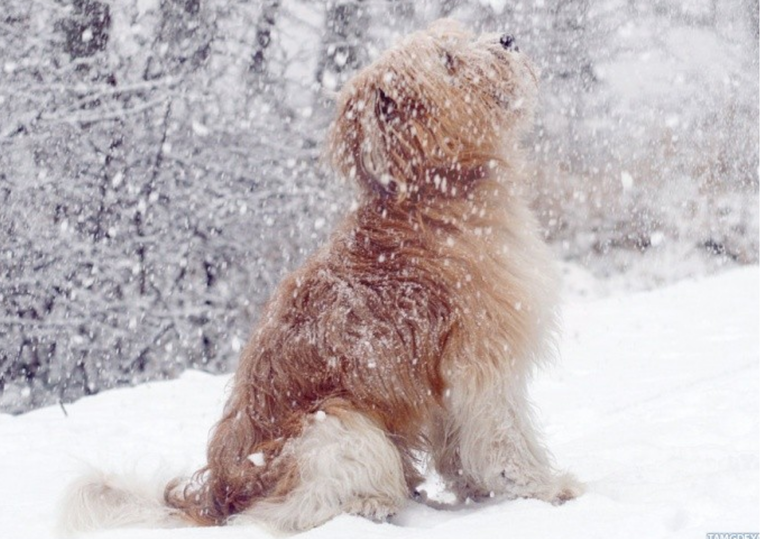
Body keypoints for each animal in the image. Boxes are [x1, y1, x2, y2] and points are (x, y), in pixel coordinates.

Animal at [59, 19, 580, 532]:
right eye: (448, 61)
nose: (507, 39)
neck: (434, 195)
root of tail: (216, 496)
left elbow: (459, 446)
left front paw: (477, 491)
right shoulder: (482, 358)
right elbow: (504, 437)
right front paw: (543, 488)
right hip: (337, 425)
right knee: (286, 512)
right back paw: (374, 503)